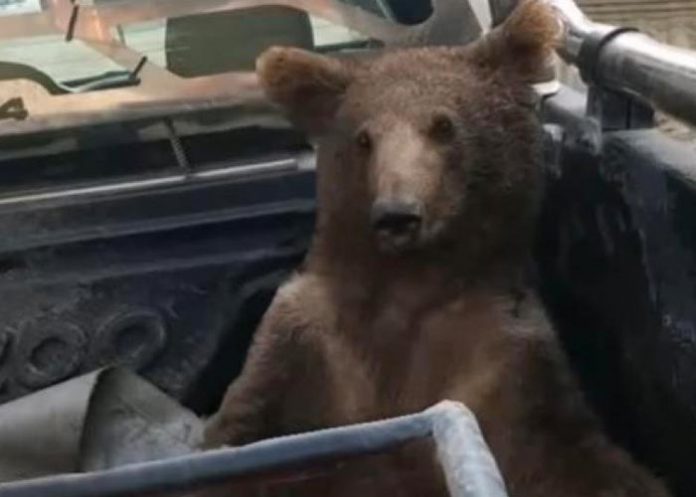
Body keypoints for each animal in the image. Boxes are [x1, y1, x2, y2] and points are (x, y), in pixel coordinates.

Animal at [202, 1, 671, 496]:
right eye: (363, 138)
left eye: (444, 125)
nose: (397, 214)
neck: (411, 290)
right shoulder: (306, 350)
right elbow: (241, 435)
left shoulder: (507, 366)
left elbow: (582, 461)